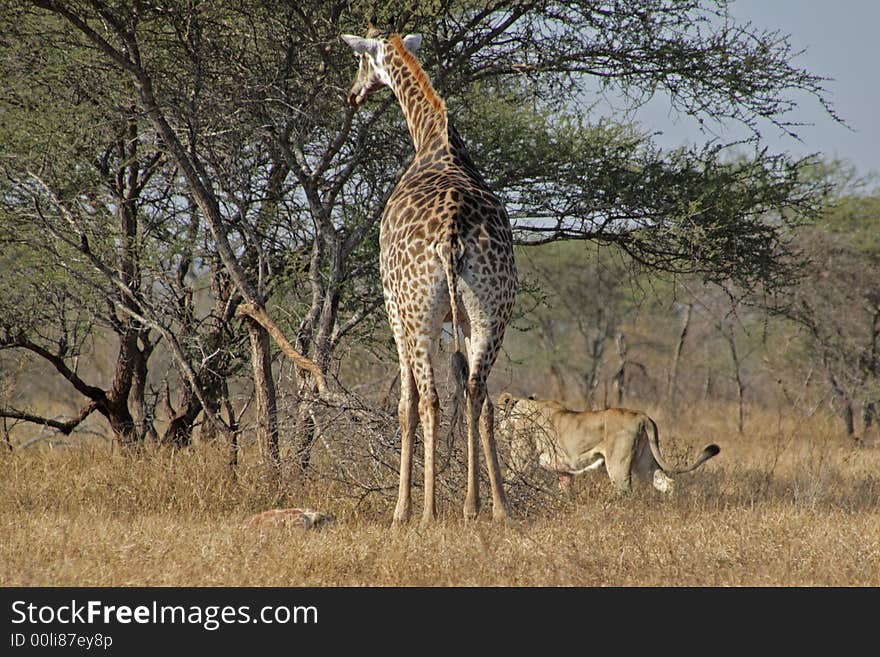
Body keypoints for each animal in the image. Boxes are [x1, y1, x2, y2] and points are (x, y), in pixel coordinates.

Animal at [342, 28, 516, 524]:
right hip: (491, 312)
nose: (353, 94)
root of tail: (452, 234)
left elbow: (406, 405)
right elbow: (484, 403)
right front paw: (491, 503)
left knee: (432, 399)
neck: (434, 141)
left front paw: (402, 509)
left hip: (419, 313)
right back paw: (482, 507)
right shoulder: (462, 321)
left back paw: (426, 512)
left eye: (361, 61)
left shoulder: (393, 311)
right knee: (475, 391)